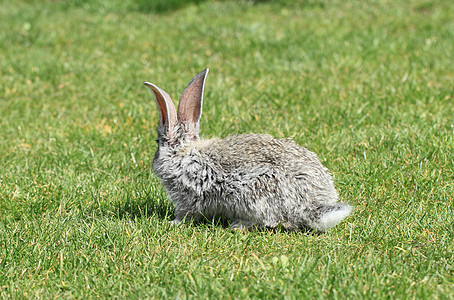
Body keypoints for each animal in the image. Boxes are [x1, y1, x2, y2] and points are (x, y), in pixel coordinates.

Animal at [145, 68, 352, 232]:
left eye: (156, 142)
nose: (153, 162)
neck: (183, 154)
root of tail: (311, 207)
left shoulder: (188, 196)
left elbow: (186, 214)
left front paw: (173, 223)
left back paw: (238, 225)